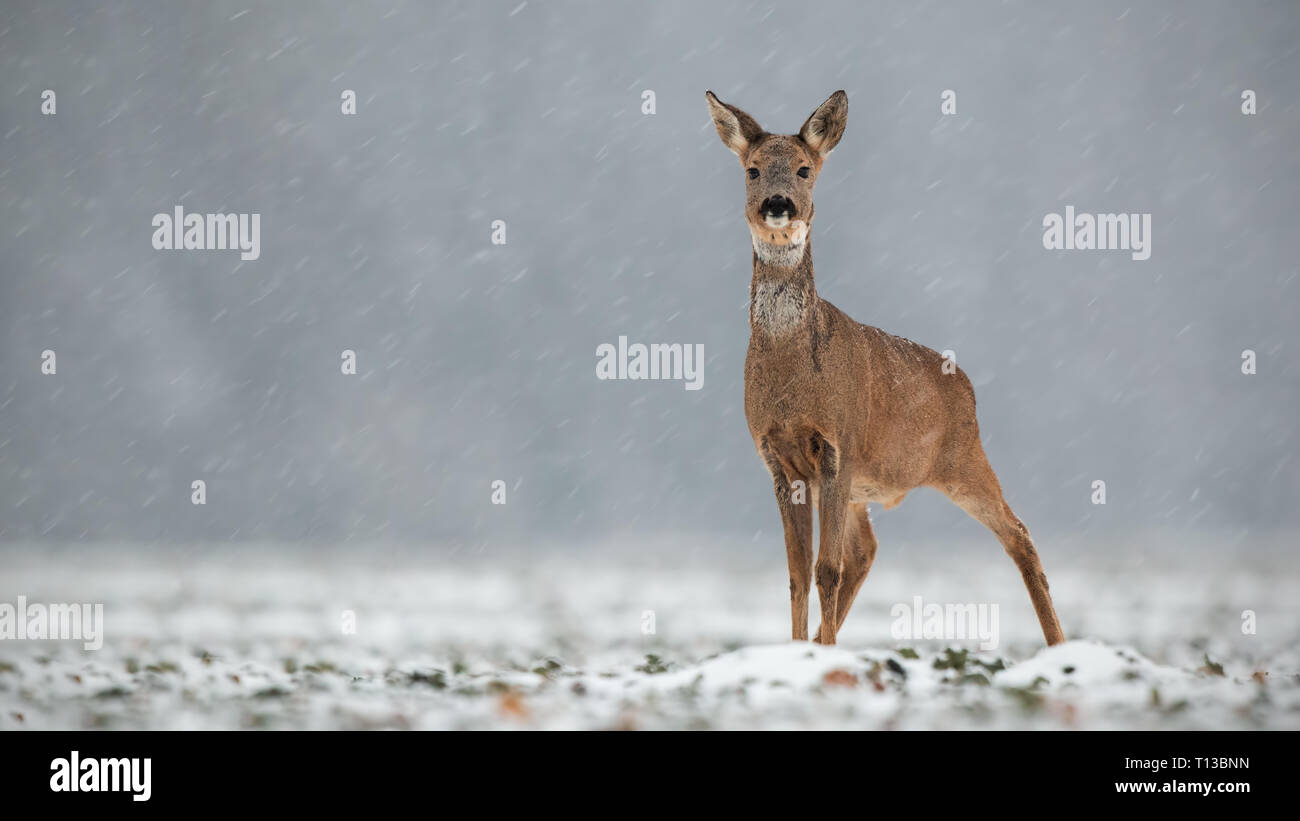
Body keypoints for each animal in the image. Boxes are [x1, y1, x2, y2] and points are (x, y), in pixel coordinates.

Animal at [712, 89, 1066, 646]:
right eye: (752, 170)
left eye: (805, 168)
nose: (778, 205)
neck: (791, 375)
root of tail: (965, 383)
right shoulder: (778, 459)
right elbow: (796, 573)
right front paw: (800, 649)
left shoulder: (838, 443)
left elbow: (824, 569)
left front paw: (821, 652)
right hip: (874, 484)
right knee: (867, 550)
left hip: (962, 457)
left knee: (1019, 534)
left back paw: (1060, 645)